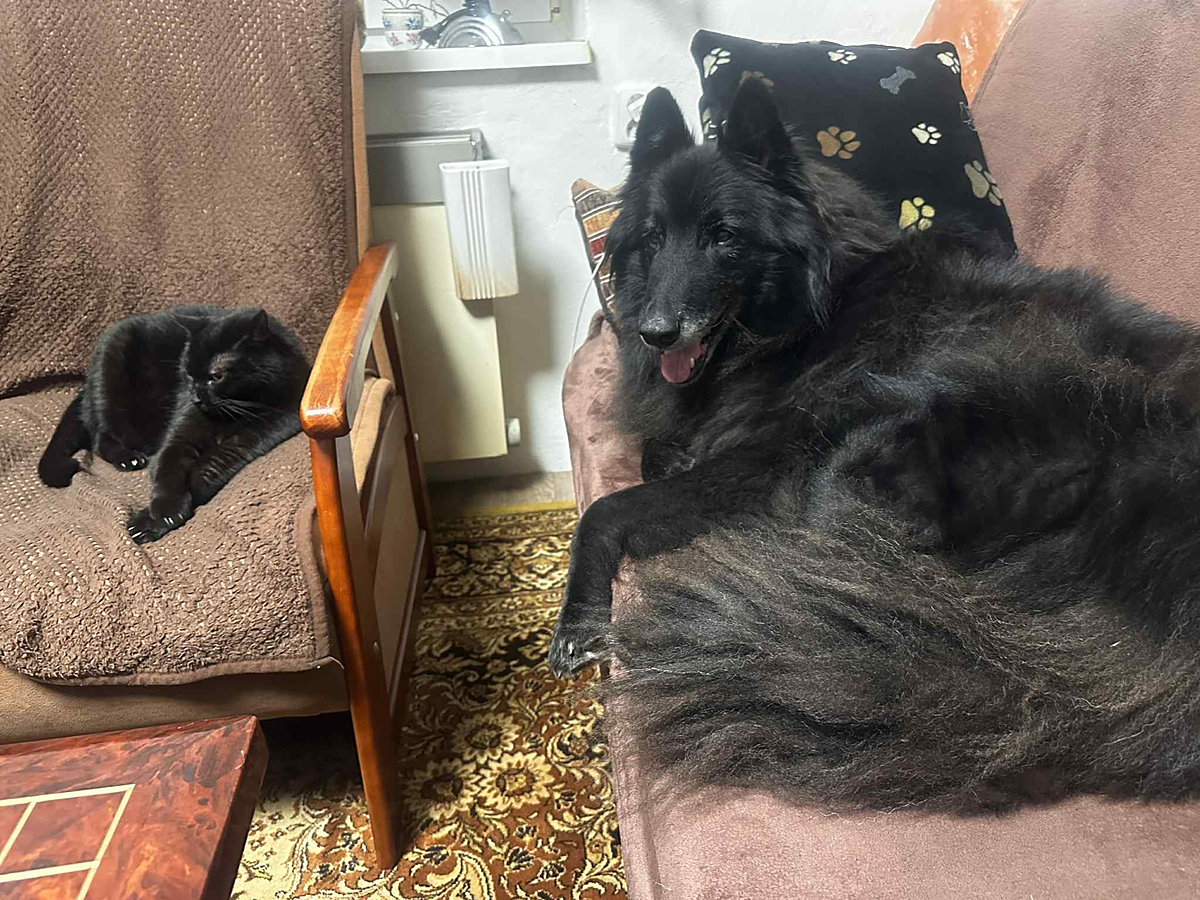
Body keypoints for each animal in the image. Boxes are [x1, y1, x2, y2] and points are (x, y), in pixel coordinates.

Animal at [38, 305, 310, 543]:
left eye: (216, 376)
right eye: (188, 373)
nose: (196, 397)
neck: (235, 410)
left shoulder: (255, 436)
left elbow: (205, 473)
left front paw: (149, 521)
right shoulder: (179, 438)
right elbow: (167, 471)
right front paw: (164, 513)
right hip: (110, 376)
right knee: (100, 439)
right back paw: (128, 458)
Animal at [547, 78, 1200, 810]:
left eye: (724, 237)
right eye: (654, 238)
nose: (655, 332)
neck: (804, 316)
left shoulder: (765, 463)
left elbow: (612, 508)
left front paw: (577, 621)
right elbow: (655, 453)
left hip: (883, 443)